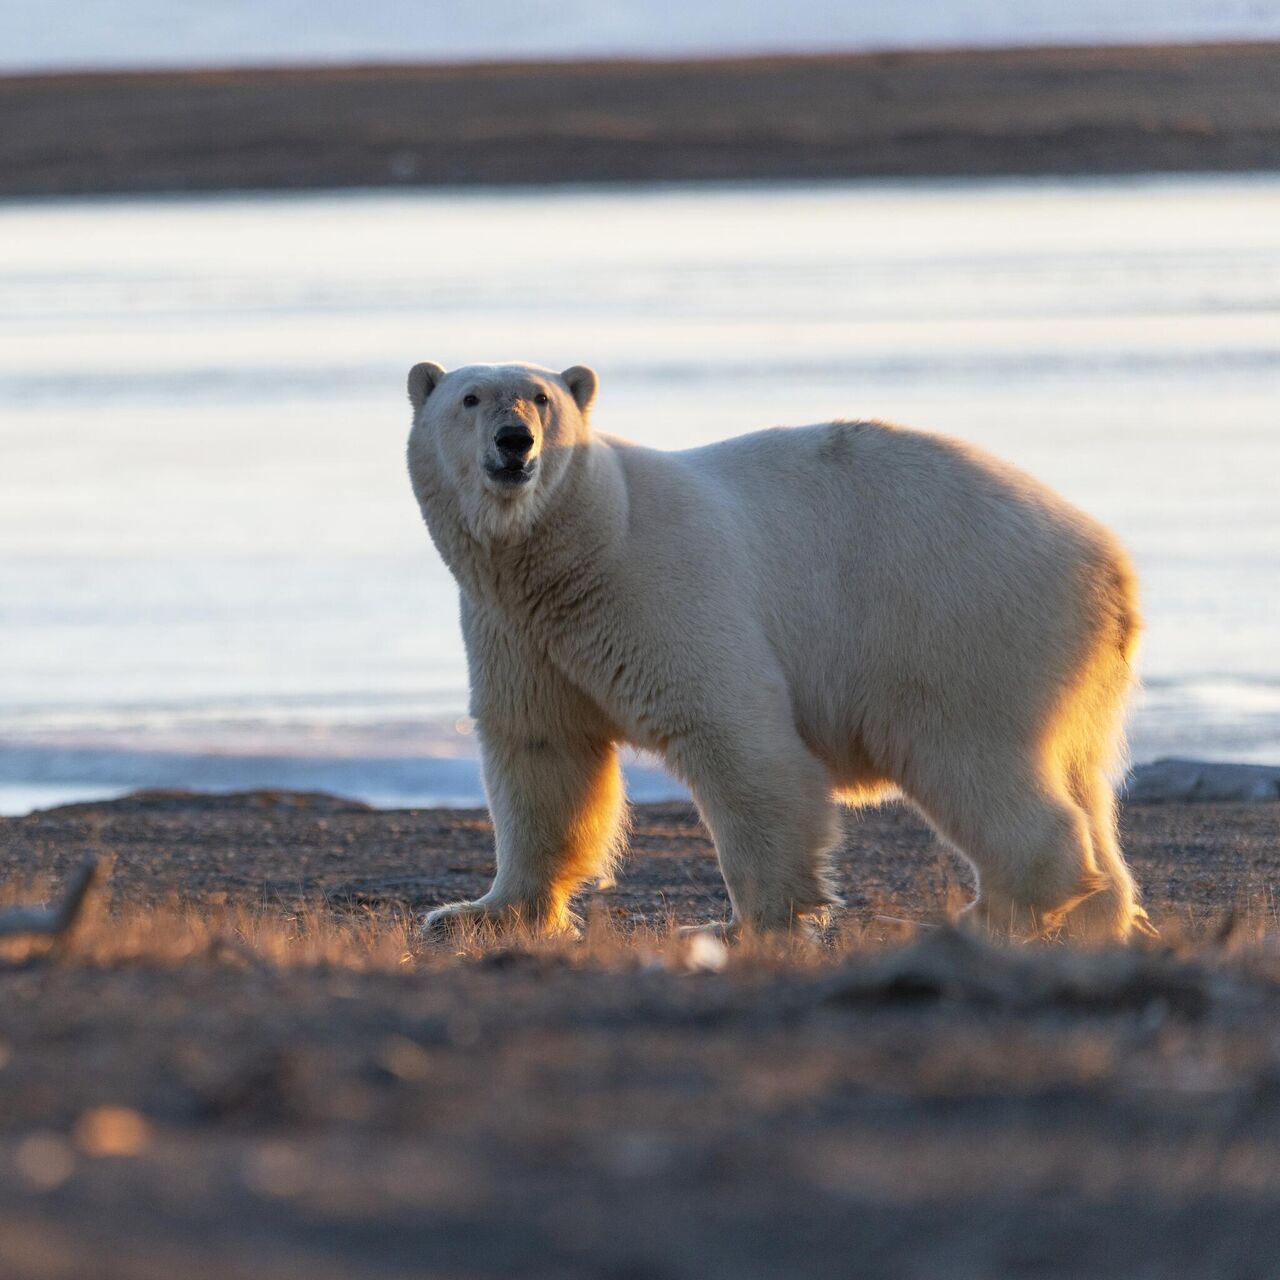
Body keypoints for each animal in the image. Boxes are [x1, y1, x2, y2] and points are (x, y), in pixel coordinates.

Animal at [404, 360, 1146, 942]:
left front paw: (745, 921)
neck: (582, 547)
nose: (514, 441)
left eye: (541, 397)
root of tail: (1110, 565)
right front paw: (477, 912)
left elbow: (738, 741)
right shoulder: (521, 634)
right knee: (1080, 781)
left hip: (959, 623)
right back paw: (1095, 914)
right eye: (470, 398)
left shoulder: (664, 591)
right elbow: (542, 754)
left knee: (970, 757)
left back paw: (996, 911)